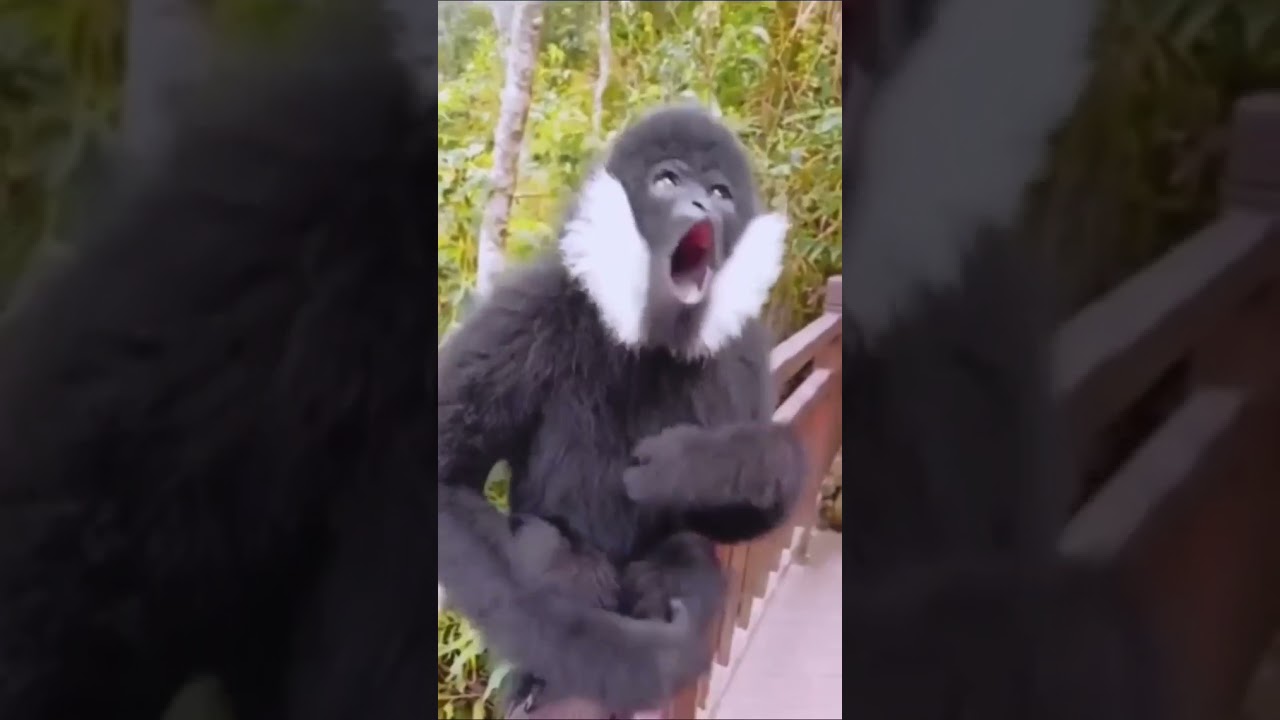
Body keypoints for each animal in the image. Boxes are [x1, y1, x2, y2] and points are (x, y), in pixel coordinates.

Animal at [436, 103, 810, 719]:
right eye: (668, 182)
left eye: (720, 192)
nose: (703, 207)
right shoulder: (531, 303)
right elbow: (446, 483)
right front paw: (636, 658)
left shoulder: (743, 349)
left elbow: (735, 523)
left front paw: (702, 465)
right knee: (549, 548)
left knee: (685, 548)